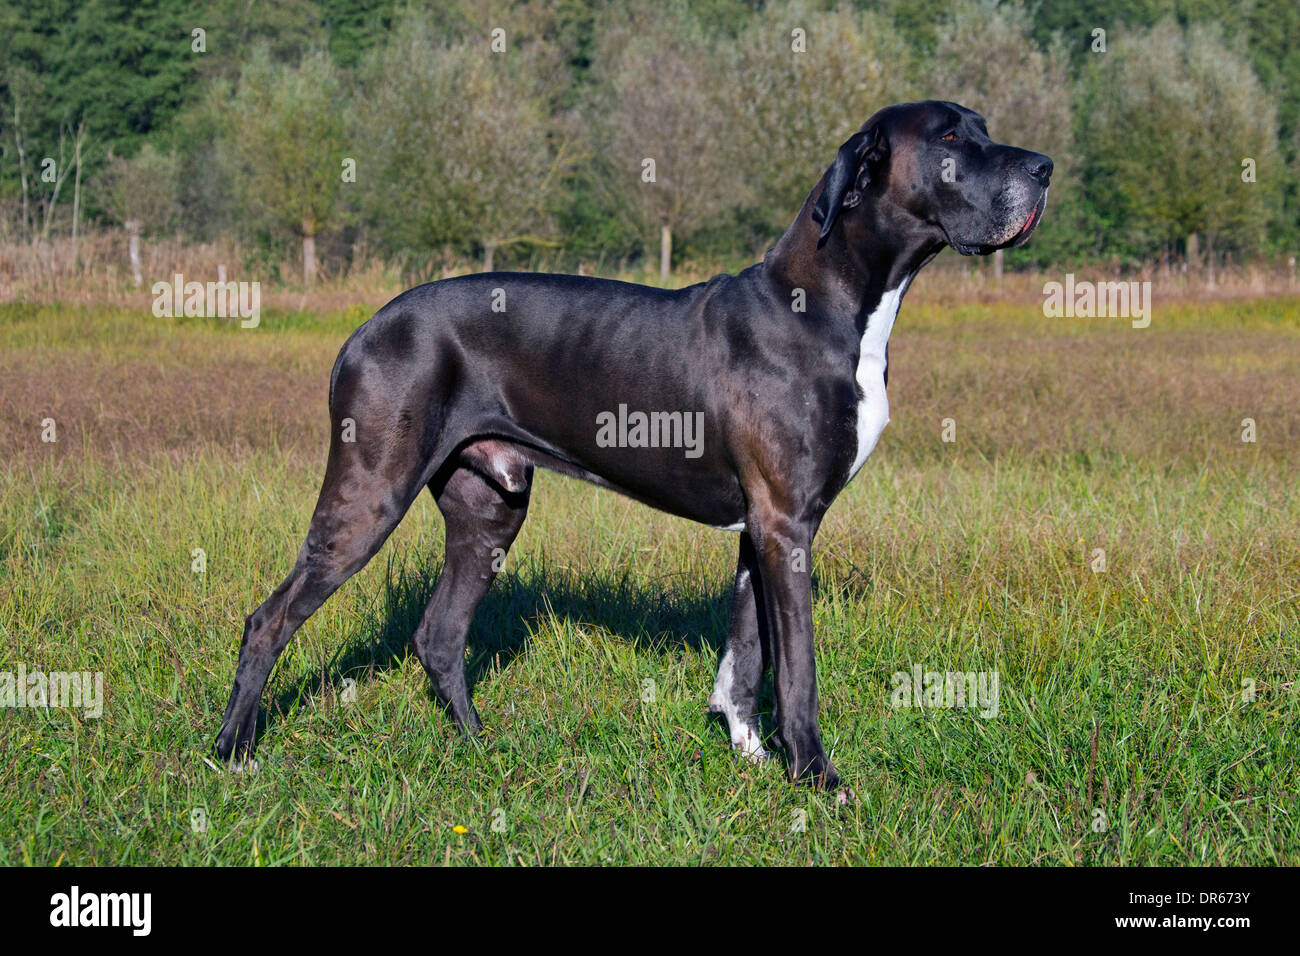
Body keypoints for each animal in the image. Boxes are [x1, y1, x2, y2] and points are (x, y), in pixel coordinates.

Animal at [213, 100, 1045, 790]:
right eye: (949, 138)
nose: (1044, 167)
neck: (829, 303)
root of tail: (361, 329)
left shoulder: (760, 528)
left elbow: (745, 654)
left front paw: (748, 753)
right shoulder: (787, 523)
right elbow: (797, 667)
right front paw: (816, 777)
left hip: (490, 507)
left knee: (439, 635)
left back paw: (481, 749)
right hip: (370, 491)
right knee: (269, 619)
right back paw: (233, 754)